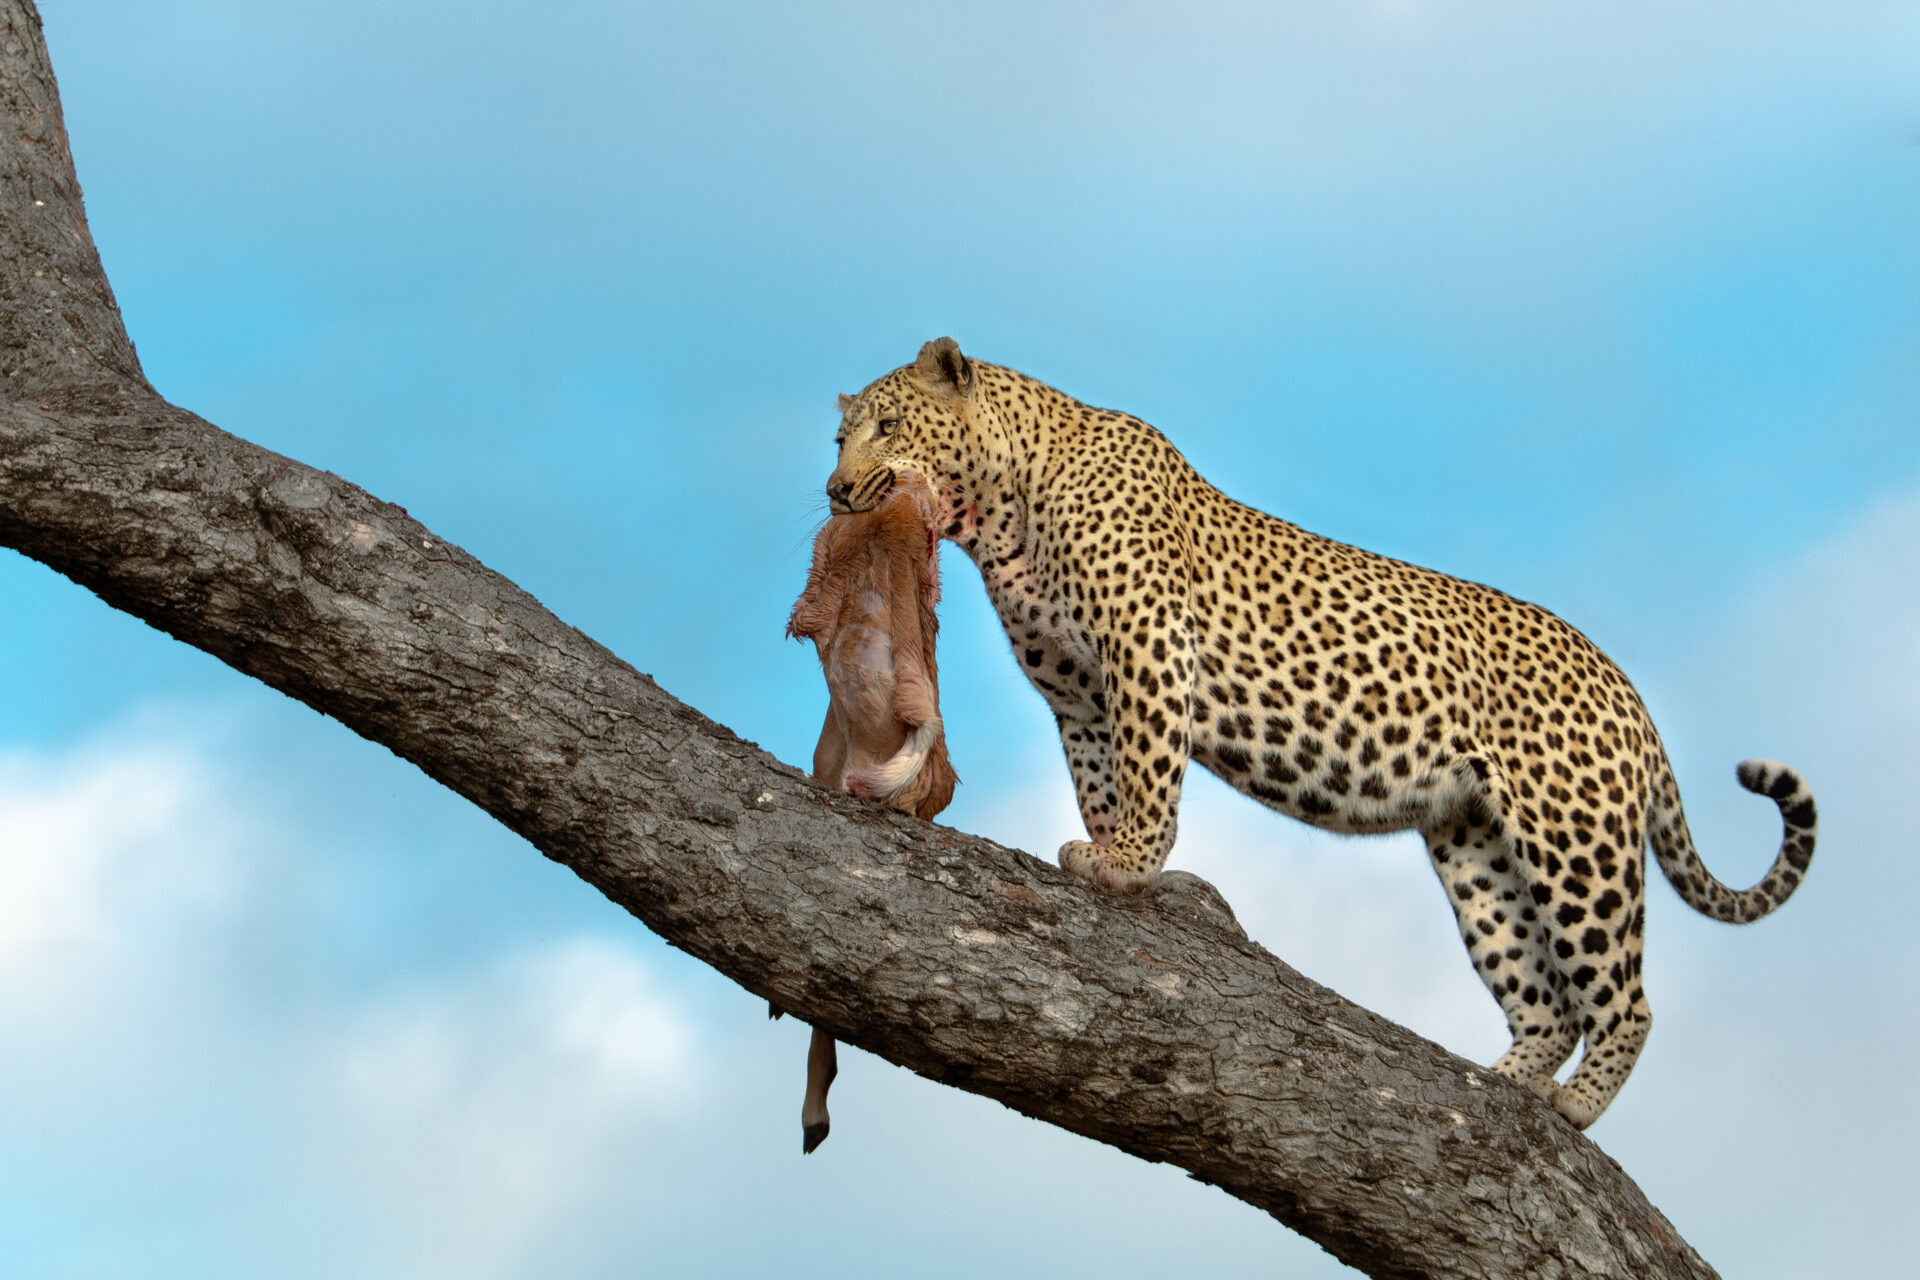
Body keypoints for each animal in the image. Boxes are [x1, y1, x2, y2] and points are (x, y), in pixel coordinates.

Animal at [822, 337, 1819, 1130]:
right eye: (842, 436)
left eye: (889, 426)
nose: (833, 489)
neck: (1003, 509)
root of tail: (1630, 696)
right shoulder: (1079, 699)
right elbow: (1101, 778)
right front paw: (1106, 854)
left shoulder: (1148, 649)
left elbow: (1149, 771)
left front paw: (1133, 861)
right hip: (1476, 848)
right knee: (1546, 1000)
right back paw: (1503, 1083)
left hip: (1574, 838)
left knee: (1624, 998)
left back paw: (1574, 1103)